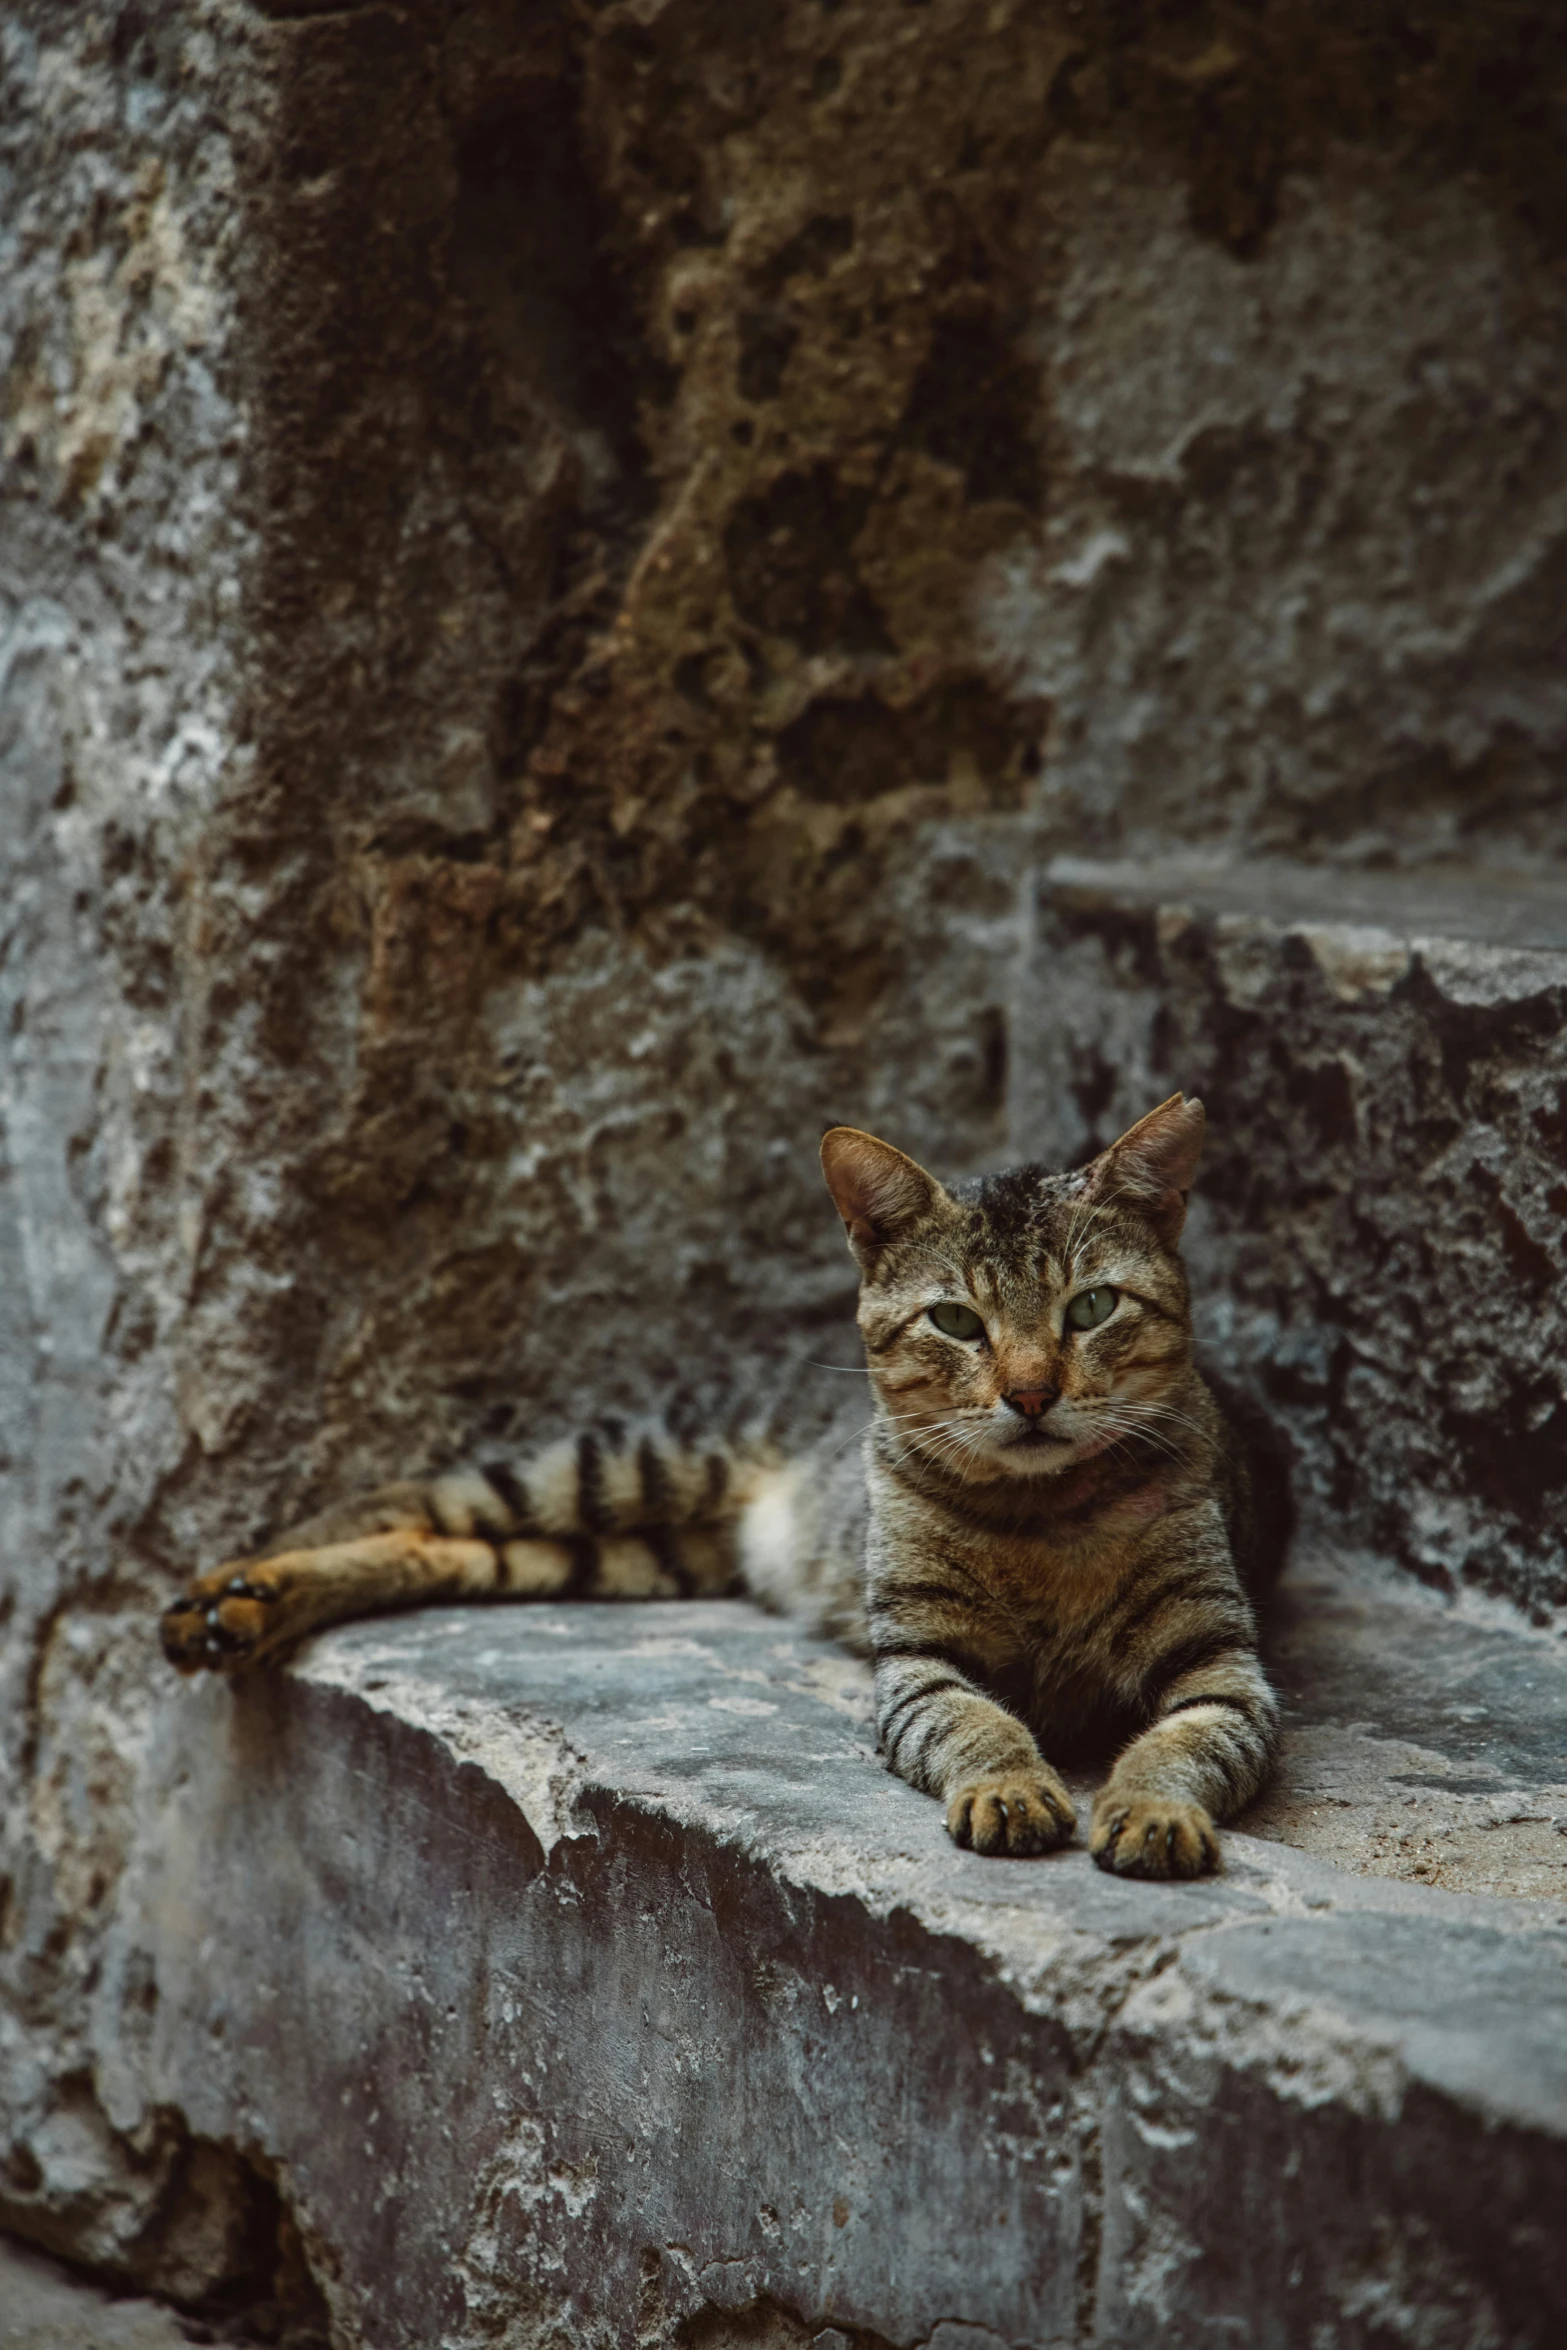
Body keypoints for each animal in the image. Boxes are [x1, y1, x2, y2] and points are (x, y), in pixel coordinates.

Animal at [162, 1090, 1287, 1879]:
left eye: (1091, 1307)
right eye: (955, 1321)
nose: (1029, 1392)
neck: (1041, 1515)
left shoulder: (1221, 1660)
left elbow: (1182, 1742)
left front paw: (1152, 1809)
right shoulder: (920, 1662)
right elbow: (980, 1723)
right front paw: (1011, 1787)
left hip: (621, 1551)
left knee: (440, 1548)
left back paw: (249, 1605)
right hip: (616, 1467)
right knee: (401, 1502)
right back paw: (233, 1584)